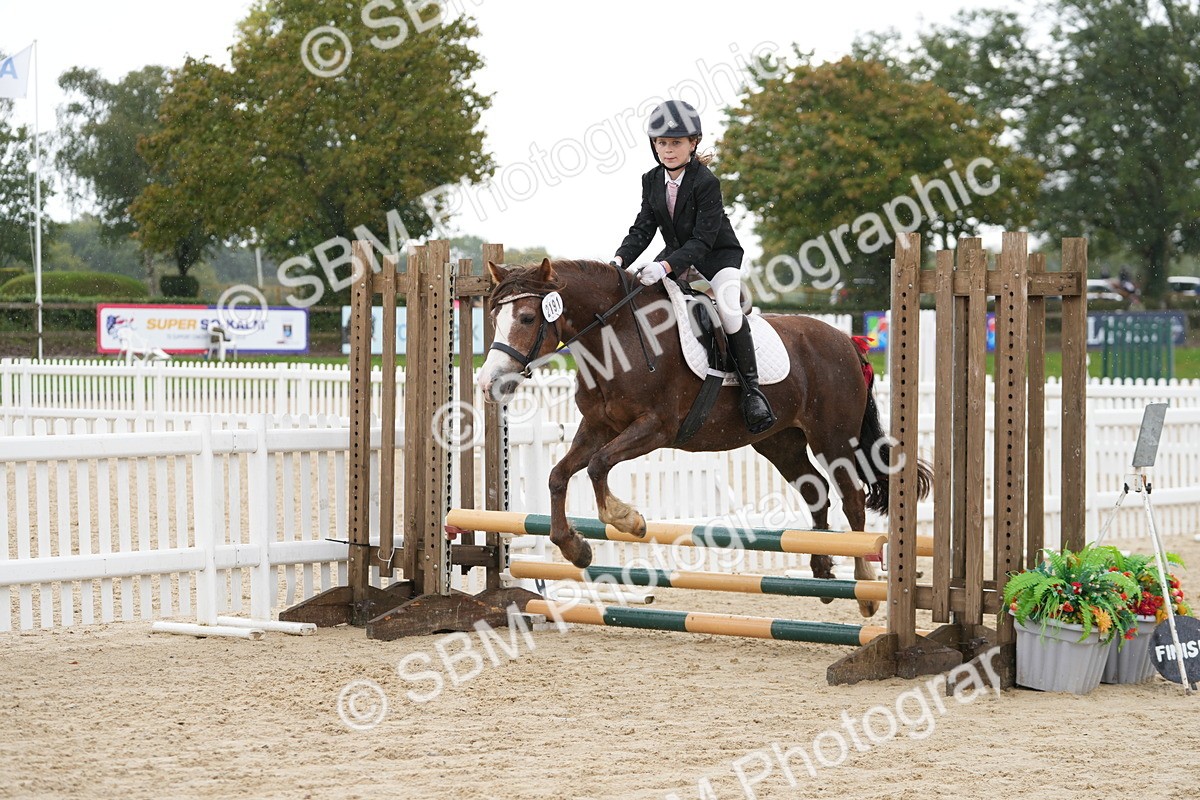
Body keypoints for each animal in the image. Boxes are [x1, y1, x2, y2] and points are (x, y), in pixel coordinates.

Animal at [476, 258, 933, 617]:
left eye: (527, 319)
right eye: (495, 318)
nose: (488, 383)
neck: (615, 338)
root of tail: (848, 342)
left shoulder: (655, 428)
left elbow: (598, 465)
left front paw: (629, 520)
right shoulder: (597, 427)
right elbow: (559, 475)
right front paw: (576, 549)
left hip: (833, 438)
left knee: (851, 497)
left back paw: (865, 587)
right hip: (779, 441)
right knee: (815, 490)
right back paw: (821, 571)